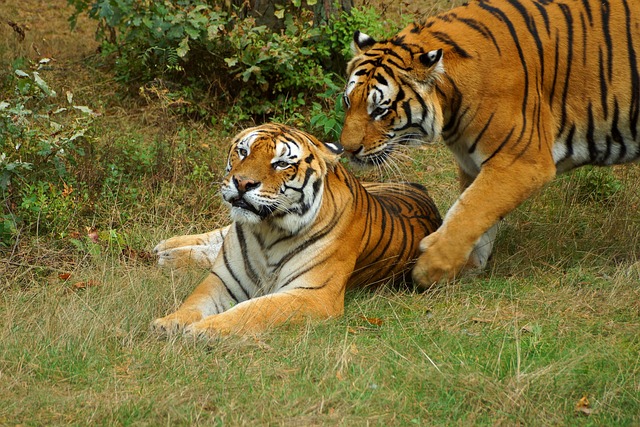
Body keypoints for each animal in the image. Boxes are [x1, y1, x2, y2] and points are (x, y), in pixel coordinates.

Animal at [151, 123, 442, 338]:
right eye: (243, 152)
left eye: (281, 163)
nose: (242, 183)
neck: (266, 231)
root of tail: (420, 187)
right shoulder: (222, 280)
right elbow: (194, 302)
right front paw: (168, 323)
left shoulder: (313, 294)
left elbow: (255, 309)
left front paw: (204, 329)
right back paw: (165, 249)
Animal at [342, 0, 640, 288]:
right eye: (347, 101)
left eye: (380, 110)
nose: (347, 149)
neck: (450, 102)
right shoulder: (473, 163)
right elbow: (475, 211)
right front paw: (468, 267)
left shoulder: (521, 161)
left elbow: (470, 211)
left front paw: (430, 269)